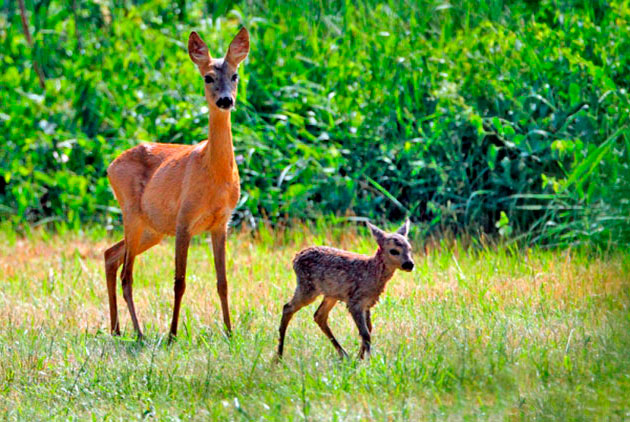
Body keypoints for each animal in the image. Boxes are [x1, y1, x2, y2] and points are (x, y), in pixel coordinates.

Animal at [105, 28, 251, 340]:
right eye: (208, 77)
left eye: (235, 75)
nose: (225, 100)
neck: (214, 174)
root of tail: (110, 166)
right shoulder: (184, 219)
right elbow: (179, 281)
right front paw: (172, 334)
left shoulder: (221, 223)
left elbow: (223, 282)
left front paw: (230, 332)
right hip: (132, 214)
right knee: (127, 274)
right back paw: (139, 333)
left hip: (153, 229)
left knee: (110, 254)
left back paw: (116, 329)